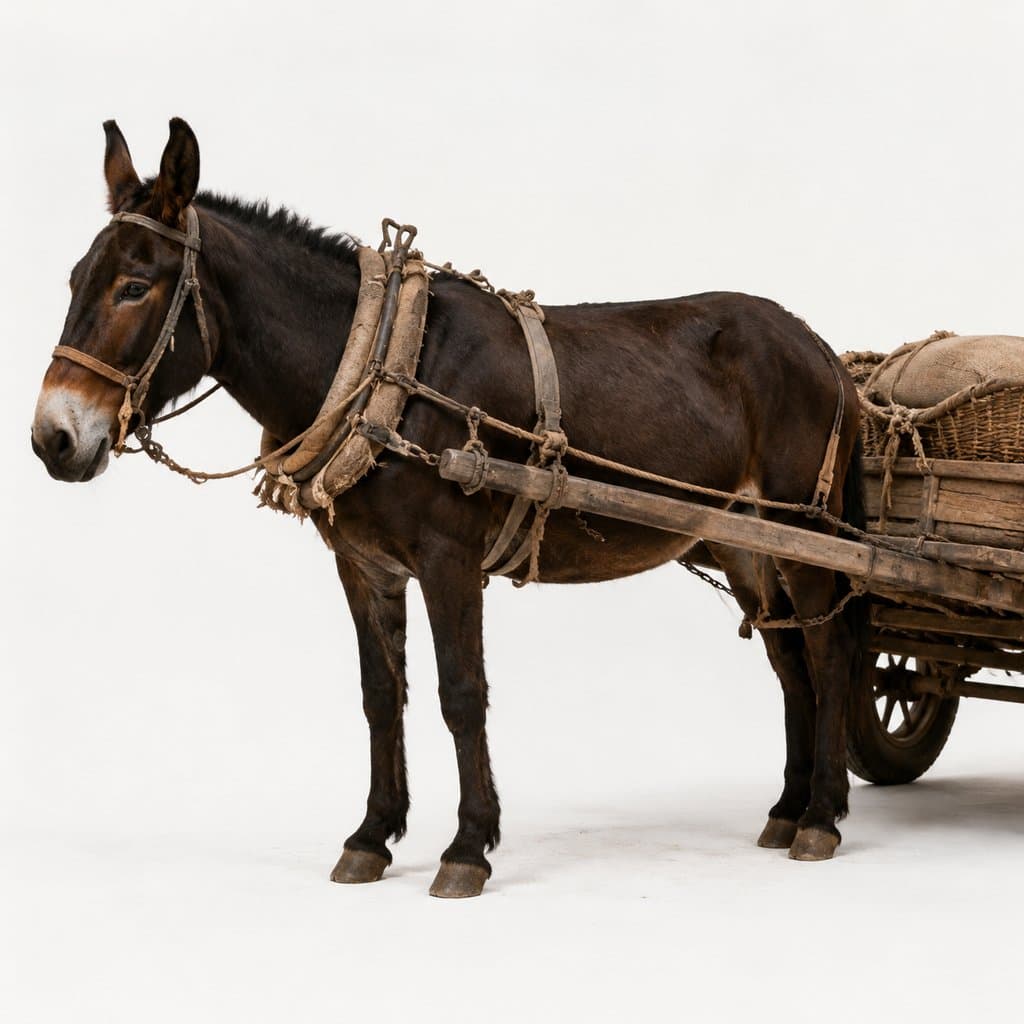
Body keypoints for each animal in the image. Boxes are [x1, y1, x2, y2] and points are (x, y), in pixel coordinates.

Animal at [32, 118, 863, 898]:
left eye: (135, 286)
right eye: (75, 280)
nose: (51, 439)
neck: (377, 368)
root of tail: (816, 343)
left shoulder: (449, 559)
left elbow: (461, 694)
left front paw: (467, 848)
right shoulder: (363, 565)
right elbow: (380, 696)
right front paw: (371, 837)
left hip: (802, 530)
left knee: (827, 655)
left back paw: (822, 817)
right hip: (744, 544)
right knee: (790, 662)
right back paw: (787, 809)